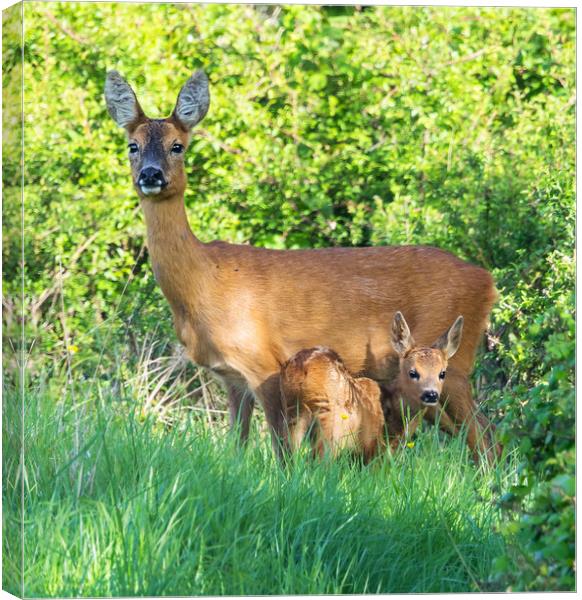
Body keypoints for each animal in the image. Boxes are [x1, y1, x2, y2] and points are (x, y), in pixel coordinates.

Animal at [104, 67, 498, 460]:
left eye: (178, 145)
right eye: (132, 145)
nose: (151, 175)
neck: (203, 283)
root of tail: (487, 280)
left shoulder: (265, 364)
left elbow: (282, 450)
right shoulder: (231, 377)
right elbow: (237, 446)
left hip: (451, 366)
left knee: (486, 438)